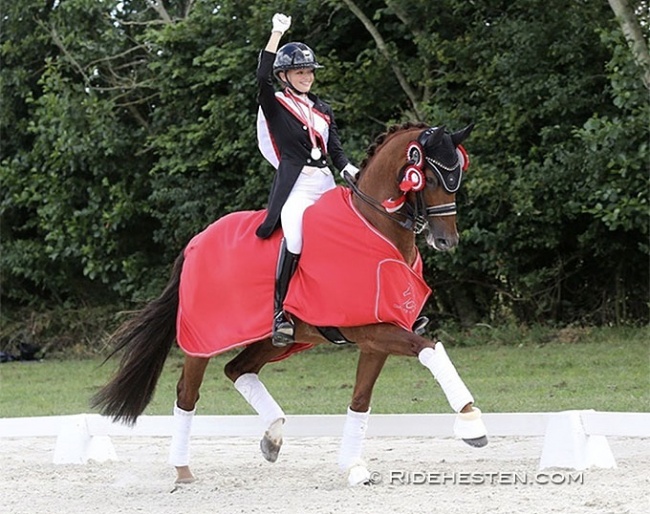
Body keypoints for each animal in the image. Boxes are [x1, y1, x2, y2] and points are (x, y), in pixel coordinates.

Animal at [91, 120, 486, 484]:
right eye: (429, 179)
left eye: (457, 178)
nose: (446, 241)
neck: (376, 228)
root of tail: (195, 242)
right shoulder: (374, 330)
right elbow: (431, 349)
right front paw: (471, 422)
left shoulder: (376, 339)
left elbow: (361, 401)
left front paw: (353, 467)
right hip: (202, 338)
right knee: (188, 393)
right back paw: (183, 470)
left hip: (276, 338)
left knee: (237, 369)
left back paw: (273, 436)